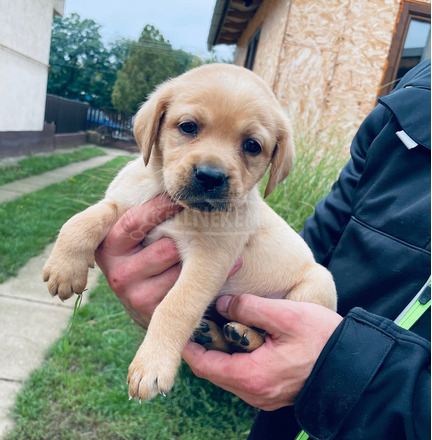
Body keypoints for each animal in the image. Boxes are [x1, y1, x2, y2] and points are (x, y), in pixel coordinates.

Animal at [42, 62, 336, 402]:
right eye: (188, 127)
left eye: (252, 145)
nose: (210, 176)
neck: (175, 201)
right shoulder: (123, 203)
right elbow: (82, 219)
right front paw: (64, 268)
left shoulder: (209, 260)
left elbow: (175, 307)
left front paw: (152, 365)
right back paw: (222, 335)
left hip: (315, 286)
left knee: (264, 333)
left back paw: (246, 334)